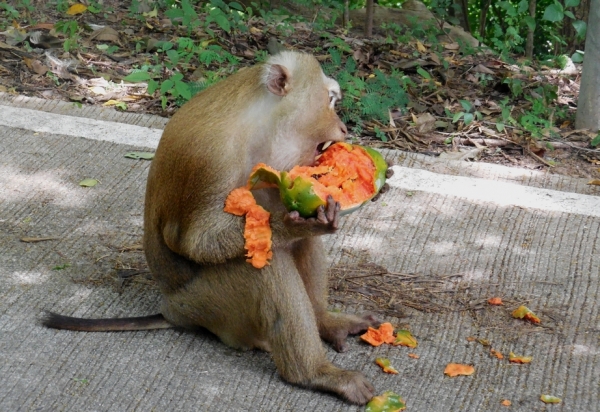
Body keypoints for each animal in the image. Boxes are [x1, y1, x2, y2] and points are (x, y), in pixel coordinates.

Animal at [44, 51, 386, 406]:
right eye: (330, 101)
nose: (343, 128)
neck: (255, 125)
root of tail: (173, 310)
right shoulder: (212, 157)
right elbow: (196, 241)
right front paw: (289, 221)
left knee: (295, 246)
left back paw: (325, 322)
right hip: (211, 306)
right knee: (263, 264)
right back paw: (313, 374)